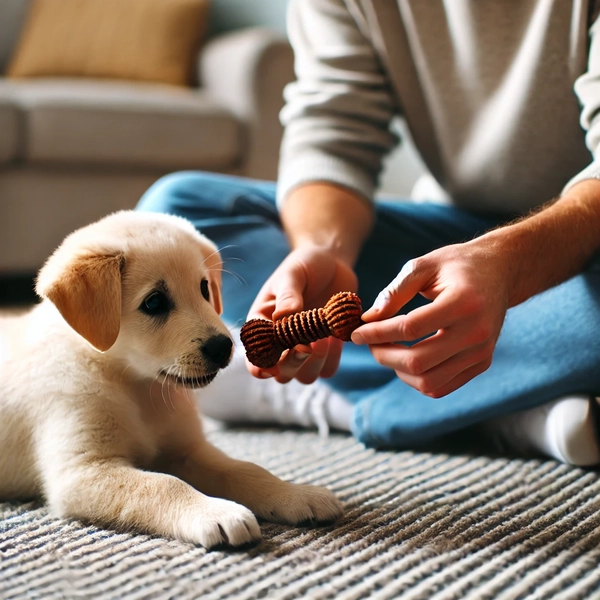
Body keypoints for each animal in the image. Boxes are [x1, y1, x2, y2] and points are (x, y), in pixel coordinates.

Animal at [0, 211, 342, 548]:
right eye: (154, 302)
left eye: (204, 288)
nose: (223, 347)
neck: (135, 386)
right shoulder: (83, 471)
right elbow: (164, 485)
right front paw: (215, 512)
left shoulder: (188, 451)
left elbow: (244, 469)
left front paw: (295, 494)